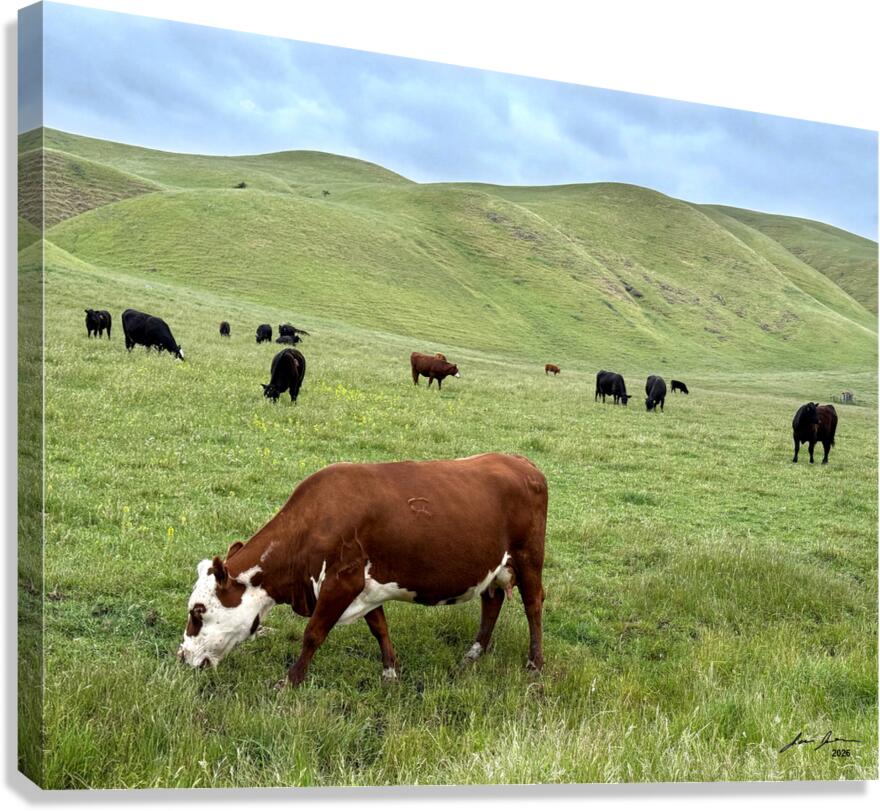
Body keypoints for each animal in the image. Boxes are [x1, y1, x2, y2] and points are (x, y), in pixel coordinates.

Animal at [177, 453, 548, 688]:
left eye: (198, 611)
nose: (182, 657)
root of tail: (521, 462)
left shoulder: (342, 582)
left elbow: (313, 633)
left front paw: (290, 681)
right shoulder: (366, 585)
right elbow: (379, 628)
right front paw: (391, 673)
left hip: (528, 558)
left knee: (533, 606)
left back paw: (535, 664)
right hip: (494, 566)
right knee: (492, 601)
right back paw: (474, 652)